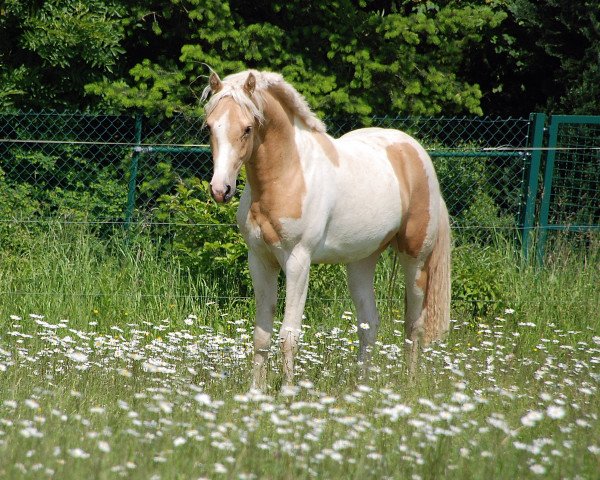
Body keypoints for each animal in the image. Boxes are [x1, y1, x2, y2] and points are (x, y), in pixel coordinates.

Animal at [203, 68, 450, 390]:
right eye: (210, 127)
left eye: (247, 128)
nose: (221, 190)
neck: (287, 175)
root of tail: (416, 153)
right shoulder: (260, 260)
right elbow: (261, 336)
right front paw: (256, 392)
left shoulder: (298, 262)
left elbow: (289, 335)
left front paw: (287, 391)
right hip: (361, 262)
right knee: (369, 324)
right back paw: (361, 386)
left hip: (415, 259)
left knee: (413, 325)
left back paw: (409, 384)